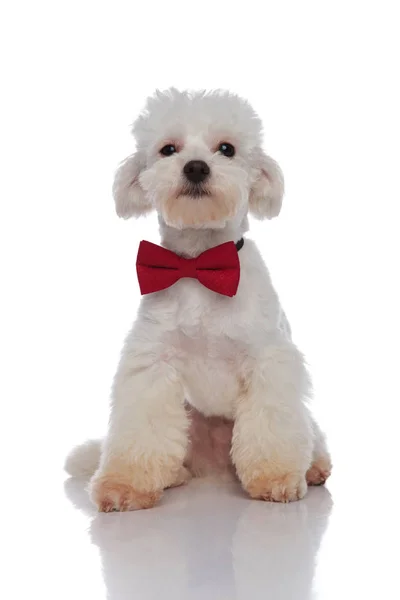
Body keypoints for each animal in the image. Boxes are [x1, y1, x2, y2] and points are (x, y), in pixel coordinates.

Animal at [65, 89, 332, 510]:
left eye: (226, 149)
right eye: (167, 149)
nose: (195, 168)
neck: (198, 265)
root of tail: (216, 466)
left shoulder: (268, 360)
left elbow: (272, 425)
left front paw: (276, 478)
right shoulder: (152, 364)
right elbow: (142, 429)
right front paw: (125, 485)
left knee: (311, 437)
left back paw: (313, 468)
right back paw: (174, 476)